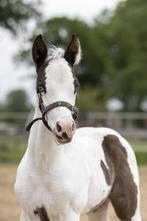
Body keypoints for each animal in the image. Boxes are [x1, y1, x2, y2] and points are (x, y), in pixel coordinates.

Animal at [14, 33, 141, 220]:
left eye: (76, 87)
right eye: (40, 87)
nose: (65, 129)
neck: (42, 167)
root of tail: (112, 134)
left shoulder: (69, 214)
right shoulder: (29, 214)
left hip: (129, 207)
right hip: (98, 208)